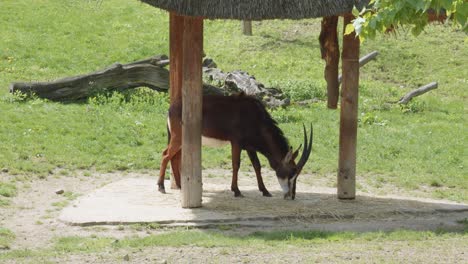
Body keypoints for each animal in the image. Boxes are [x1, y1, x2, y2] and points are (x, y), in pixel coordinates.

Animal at [158, 94, 314, 199]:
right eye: (292, 172)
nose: (291, 196)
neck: (256, 117)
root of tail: (171, 108)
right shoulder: (236, 143)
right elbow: (236, 164)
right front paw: (236, 191)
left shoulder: (250, 147)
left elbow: (257, 166)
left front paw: (265, 191)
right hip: (178, 138)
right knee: (166, 154)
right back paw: (161, 187)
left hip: (181, 141)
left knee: (173, 157)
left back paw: (179, 186)